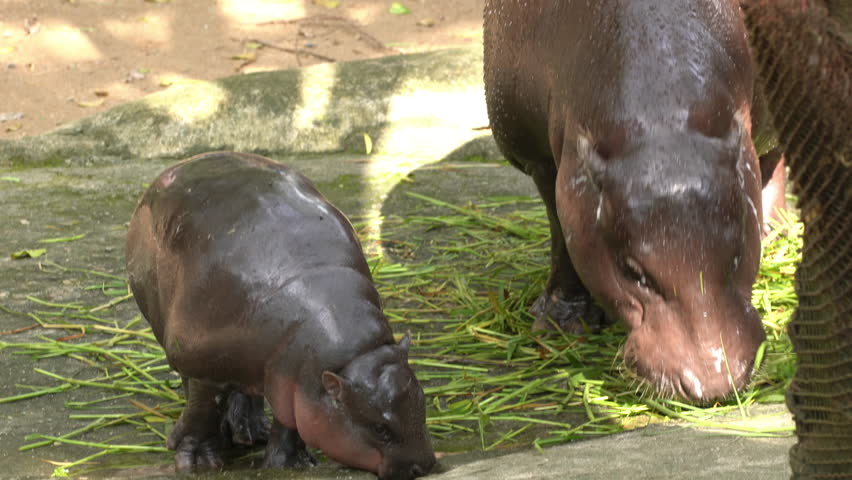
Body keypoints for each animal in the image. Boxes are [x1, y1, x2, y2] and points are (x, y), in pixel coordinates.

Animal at [125, 152, 440, 478]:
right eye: (379, 428)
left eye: (422, 401)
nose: (424, 464)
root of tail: (180, 165)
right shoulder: (204, 364)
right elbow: (202, 411)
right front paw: (198, 463)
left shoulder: (294, 377)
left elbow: (290, 420)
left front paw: (290, 463)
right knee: (198, 392)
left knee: (248, 391)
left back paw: (251, 433)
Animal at [482, 0, 768, 402]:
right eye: (632, 272)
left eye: (739, 250)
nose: (712, 382)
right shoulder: (541, 159)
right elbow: (561, 234)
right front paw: (559, 322)